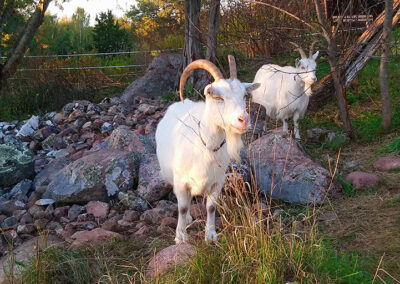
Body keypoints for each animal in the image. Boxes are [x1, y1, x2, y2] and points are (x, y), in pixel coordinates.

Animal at [155, 56, 260, 243]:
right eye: (217, 96)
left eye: (244, 95)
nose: (244, 120)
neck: (206, 147)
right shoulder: (181, 182)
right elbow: (182, 208)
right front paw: (180, 237)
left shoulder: (217, 182)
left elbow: (211, 207)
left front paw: (210, 235)